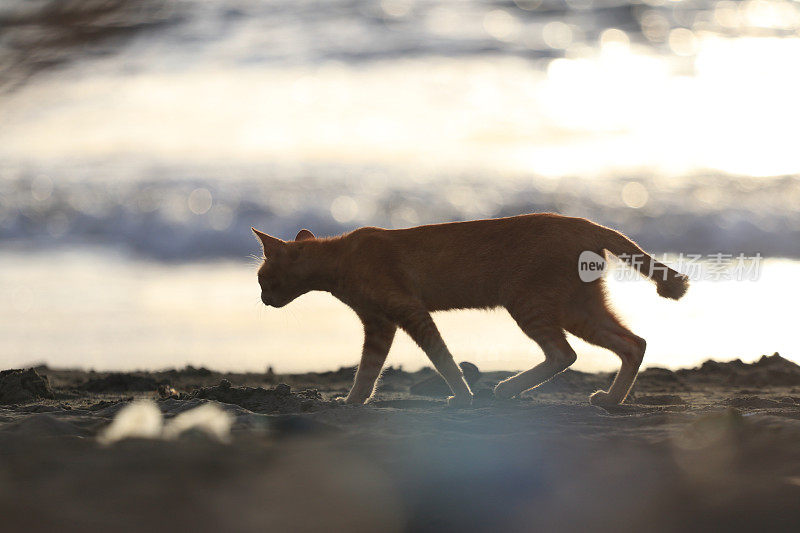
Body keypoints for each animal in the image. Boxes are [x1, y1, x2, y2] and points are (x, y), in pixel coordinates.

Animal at [255, 214, 688, 406]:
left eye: (262, 279)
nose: (260, 299)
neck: (340, 257)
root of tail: (587, 222)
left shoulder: (409, 312)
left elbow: (442, 359)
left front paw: (462, 396)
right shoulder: (379, 324)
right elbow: (368, 369)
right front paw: (353, 401)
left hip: (530, 304)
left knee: (565, 353)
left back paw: (506, 389)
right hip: (578, 307)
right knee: (633, 343)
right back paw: (611, 400)